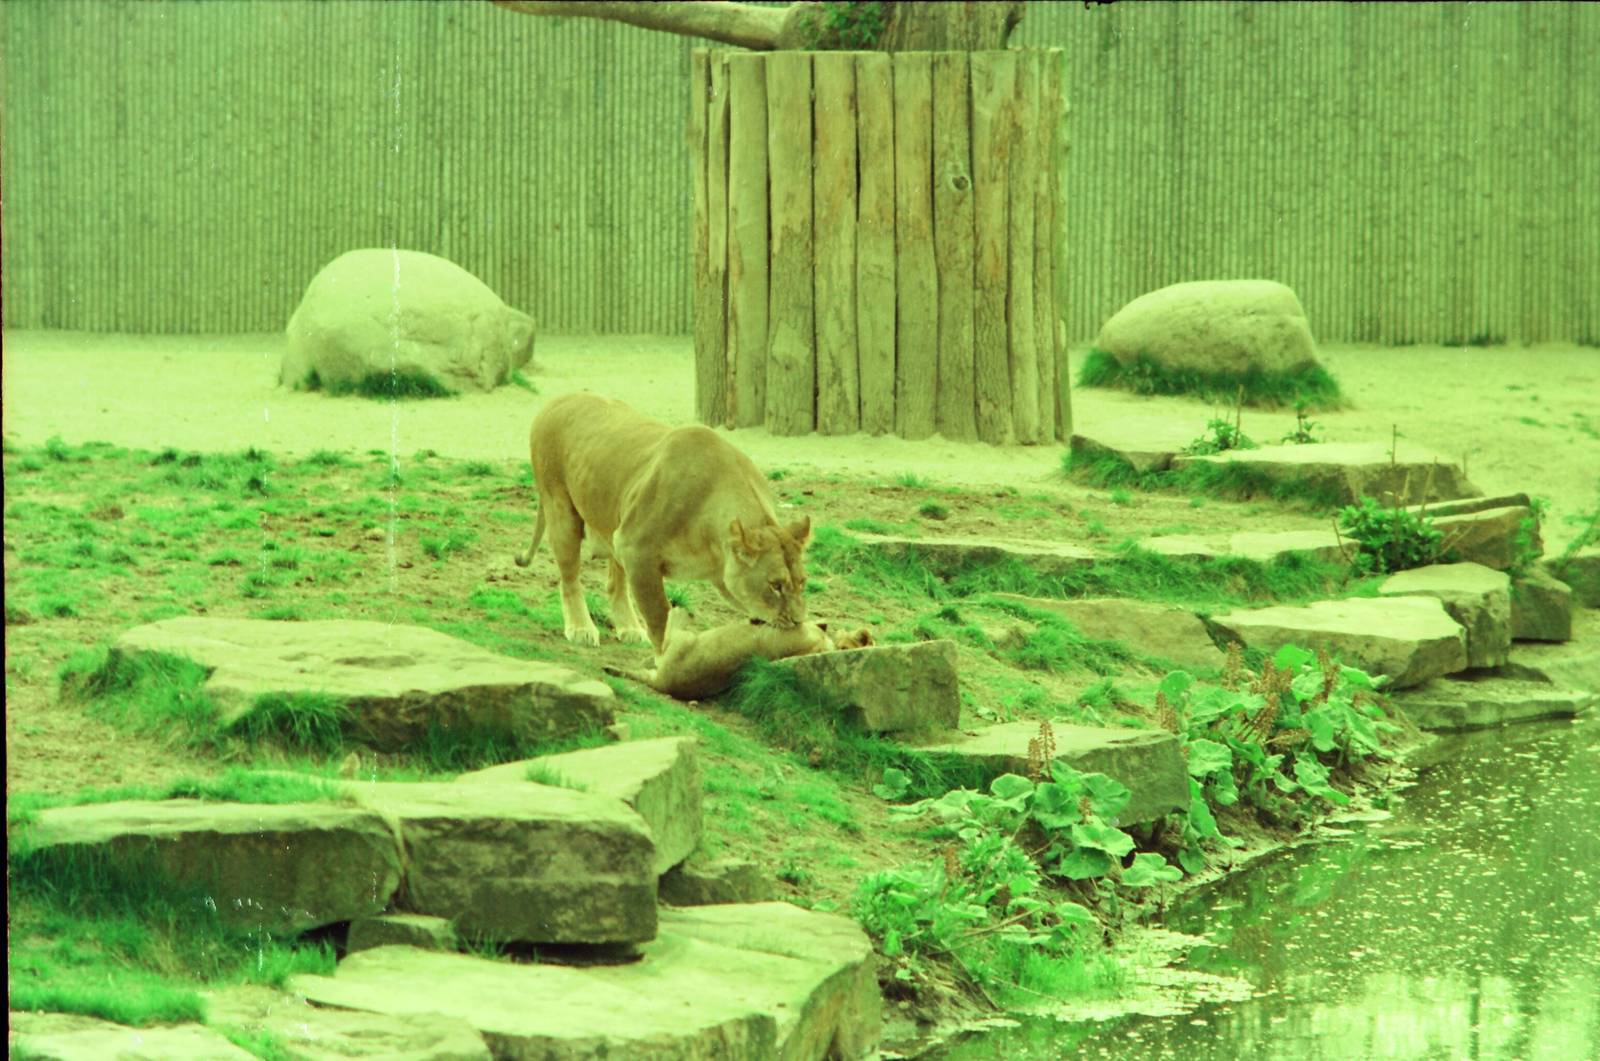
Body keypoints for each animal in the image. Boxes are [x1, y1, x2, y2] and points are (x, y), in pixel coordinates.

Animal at [516, 392, 811, 652]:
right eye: (775, 585)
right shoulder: (637, 550)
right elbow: (660, 618)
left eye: (802, 582)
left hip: (615, 523)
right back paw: (581, 628)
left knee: (615, 582)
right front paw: (666, 660)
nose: (798, 621)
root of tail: (558, 398)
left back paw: (630, 628)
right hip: (562, 509)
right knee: (569, 578)